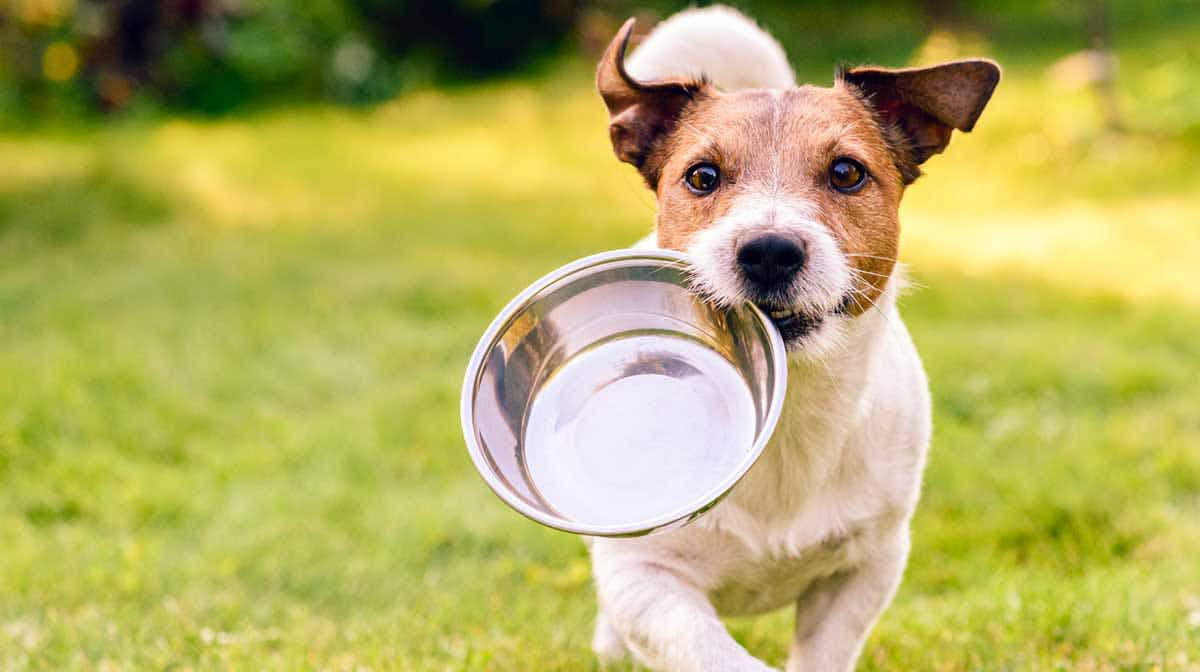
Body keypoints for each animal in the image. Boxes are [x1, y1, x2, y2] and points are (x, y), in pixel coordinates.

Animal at [585, 6, 998, 672]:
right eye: (702, 176)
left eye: (847, 172)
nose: (770, 251)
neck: (789, 412)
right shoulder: (645, 577)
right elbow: (707, 648)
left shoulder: (867, 568)